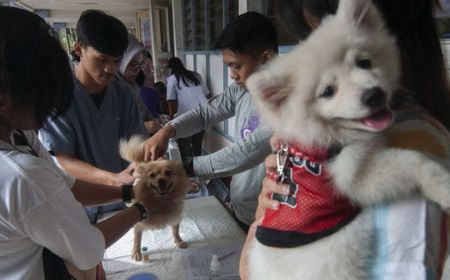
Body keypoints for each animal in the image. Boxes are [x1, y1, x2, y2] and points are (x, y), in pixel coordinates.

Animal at [246, 0, 450, 278]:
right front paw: (443, 187)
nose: (373, 95)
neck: (332, 135)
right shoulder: (353, 173)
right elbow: (414, 160)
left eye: (364, 62)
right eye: (328, 92)